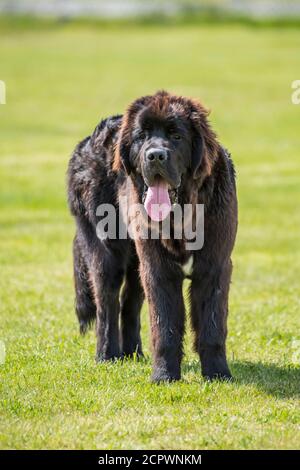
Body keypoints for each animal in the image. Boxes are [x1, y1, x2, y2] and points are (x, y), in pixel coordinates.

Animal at [67, 91, 237, 382]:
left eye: (176, 136)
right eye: (142, 137)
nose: (155, 155)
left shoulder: (214, 266)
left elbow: (212, 326)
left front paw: (217, 374)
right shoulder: (159, 270)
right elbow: (164, 326)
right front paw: (164, 376)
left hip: (137, 261)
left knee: (129, 303)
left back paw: (133, 353)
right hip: (106, 252)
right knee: (107, 304)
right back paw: (107, 355)